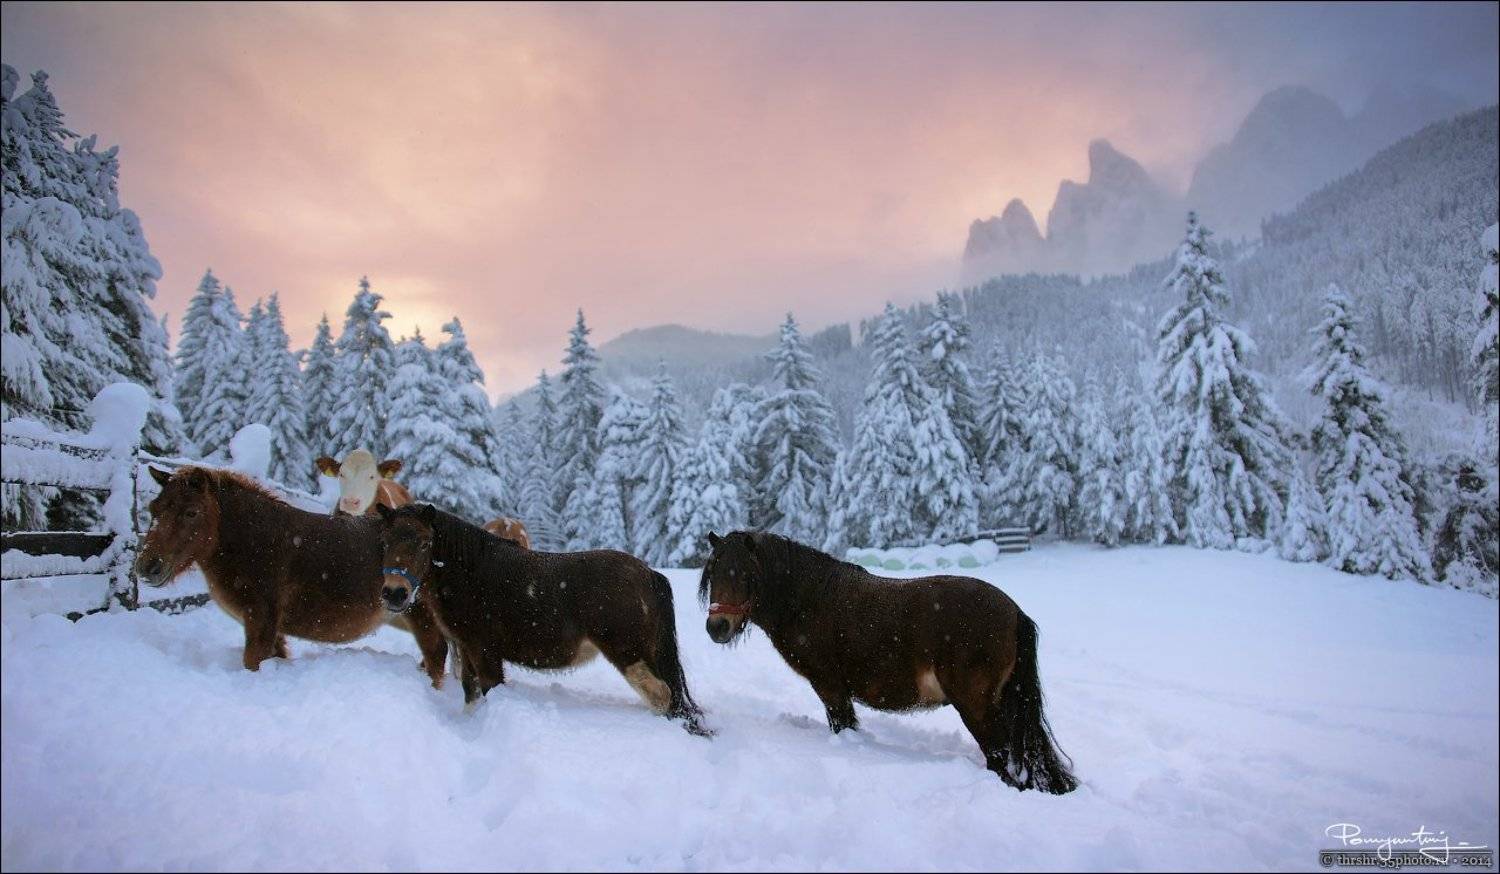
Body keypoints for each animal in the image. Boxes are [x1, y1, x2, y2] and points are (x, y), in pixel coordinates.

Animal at [135, 465, 451, 686]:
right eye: (154, 509)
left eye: (191, 512)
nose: (147, 566)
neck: (253, 541)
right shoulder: (270, 629)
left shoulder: (261, 621)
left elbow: (252, 661)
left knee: (436, 655)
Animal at [375, 502, 710, 736]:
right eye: (385, 542)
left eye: (424, 542)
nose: (394, 593)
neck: (469, 573)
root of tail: (649, 573)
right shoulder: (467, 647)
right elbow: (471, 692)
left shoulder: (484, 651)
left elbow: (489, 689)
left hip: (629, 654)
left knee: (661, 695)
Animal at [699, 530, 1078, 793]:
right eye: (713, 573)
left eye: (745, 575)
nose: (717, 627)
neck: (810, 600)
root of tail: (1015, 613)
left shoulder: (829, 686)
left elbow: (843, 725)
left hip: (977, 708)